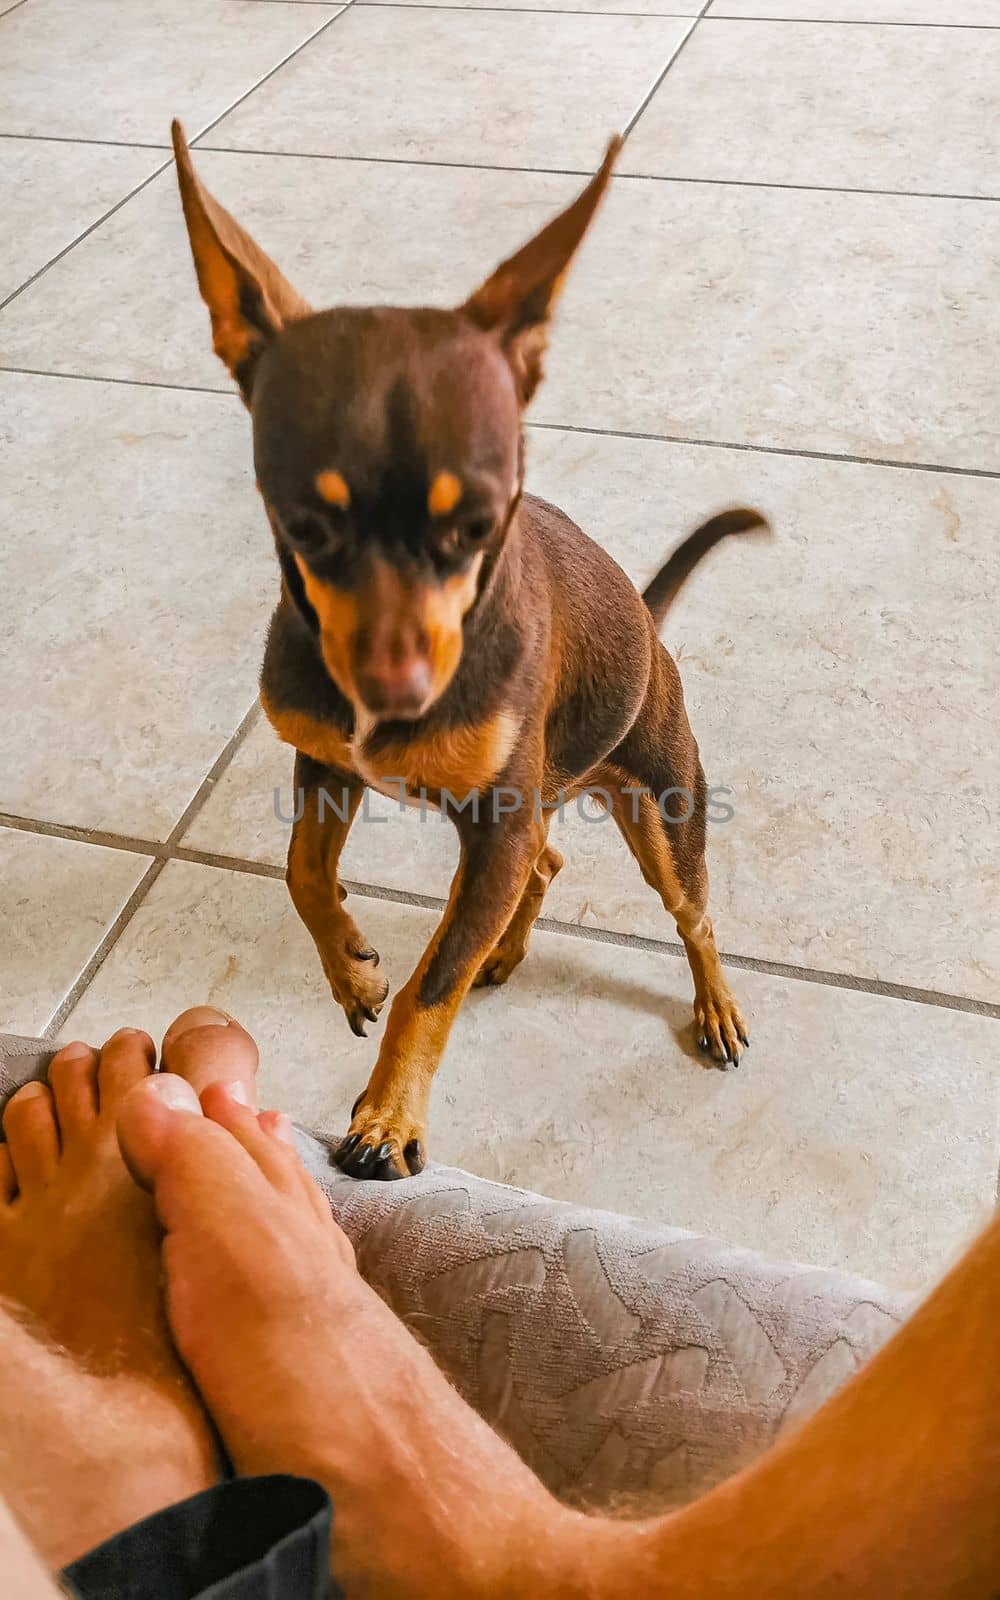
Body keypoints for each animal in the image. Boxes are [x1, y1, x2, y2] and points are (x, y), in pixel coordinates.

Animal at [171, 121, 764, 1177]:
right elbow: (303, 875)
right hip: (532, 806)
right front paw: (354, 969)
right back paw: (507, 946)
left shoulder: (495, 822)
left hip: (659, 801)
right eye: (303, 522)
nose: (392, 695)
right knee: (547, 865)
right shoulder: (329, 766)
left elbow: (431, 986)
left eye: (482, 520)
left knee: (689, 911)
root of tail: (647, 619)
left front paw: (388, 1118)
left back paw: (713, 1004)